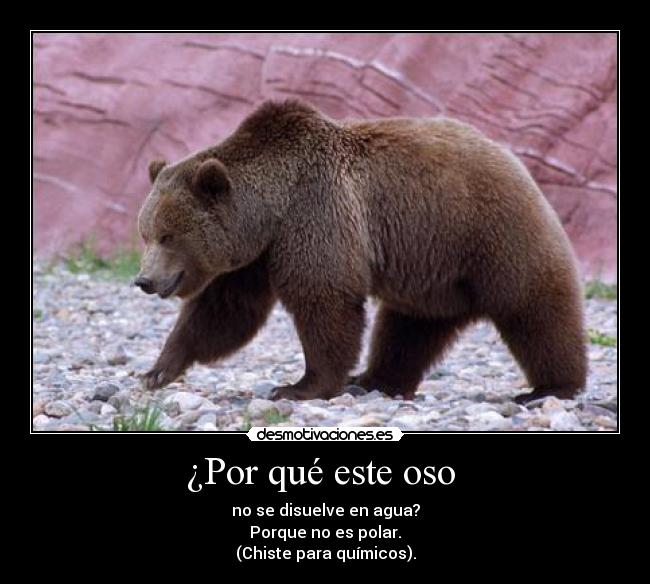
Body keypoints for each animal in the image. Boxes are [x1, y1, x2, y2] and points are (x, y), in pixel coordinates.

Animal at [135, 99, 587, 404]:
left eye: (167, 235)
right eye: (146, 233)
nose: (144, 280)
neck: (271, 210)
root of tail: (510, 156)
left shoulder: (316, 214)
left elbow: (325, 300)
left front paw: (300, 386)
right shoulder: (257, 254)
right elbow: (224, 310)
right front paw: (157, 370)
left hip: (487, 231)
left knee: (532, 307)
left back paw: (551, 387)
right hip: (433, 269)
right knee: (409, 328)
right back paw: (374, 379)